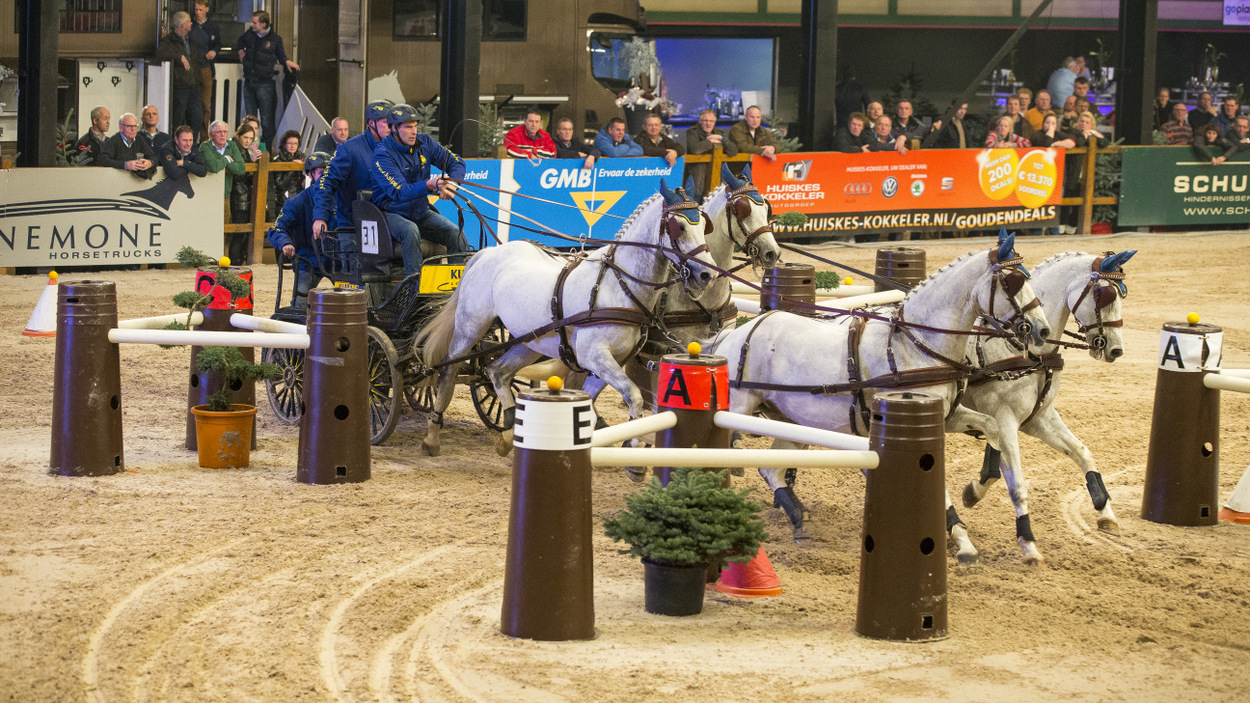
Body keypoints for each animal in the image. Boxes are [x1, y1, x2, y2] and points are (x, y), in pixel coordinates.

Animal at [415, 180, 720, 455]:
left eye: (704, 226)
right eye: (679, 226)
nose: (708, 274)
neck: (617, 285)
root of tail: (487, 252)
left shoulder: (610, 361)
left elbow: (599, 404)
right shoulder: (594, 355)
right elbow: (633, 396)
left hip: (530, 341)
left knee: (496, 371)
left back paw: (508, 434)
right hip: (470, 327)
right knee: (448, 371)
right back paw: (432, 436)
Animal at [710, 235, 1050, 562]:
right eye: (1012, 282)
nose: (1042, 329)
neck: (915, 344)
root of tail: (733, 336)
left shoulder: (949, 414)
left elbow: (991, 425)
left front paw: (978, 489)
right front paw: (963, 541)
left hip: (793, 422)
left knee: (771, 470)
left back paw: (800, 521)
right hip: (739, 409)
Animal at [950, 248, 1140, 560]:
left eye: (1121, 294)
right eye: (1105, 296)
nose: (1116, 349)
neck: (1024, 350)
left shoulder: (1039, 419)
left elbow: (1083, 454)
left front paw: (1106, 514)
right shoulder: (1005, 420)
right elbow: (1013, 481)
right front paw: (1026, 541)